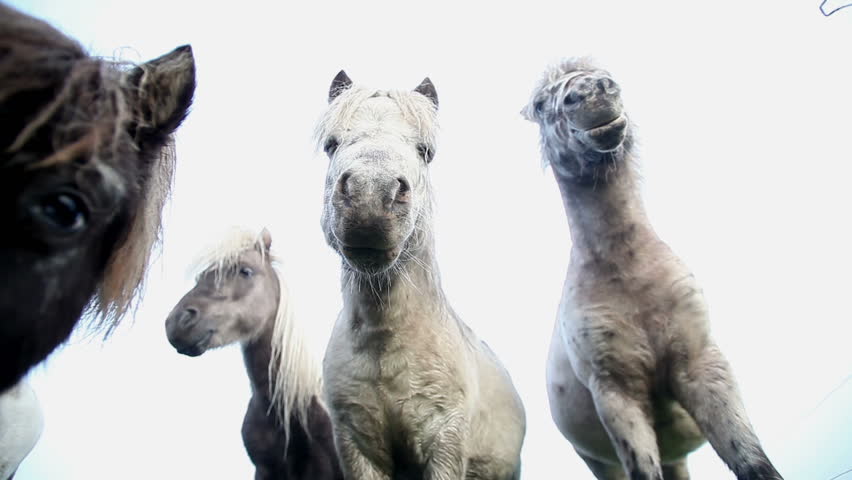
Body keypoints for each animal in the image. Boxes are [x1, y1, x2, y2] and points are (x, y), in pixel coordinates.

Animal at [317, 70, 526, 480]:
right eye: (331, 144)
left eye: (425, 150)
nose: (370, 195)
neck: (384, 343)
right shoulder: (358, 445)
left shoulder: (443, 440)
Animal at [521, 57, 784, 480]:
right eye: (541, 104)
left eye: (605, 78)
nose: (593, 91)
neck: (631, 277)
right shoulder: (617, 393)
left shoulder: (702, 367)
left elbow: (753, 462)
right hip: (601, 462)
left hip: (676, 454)